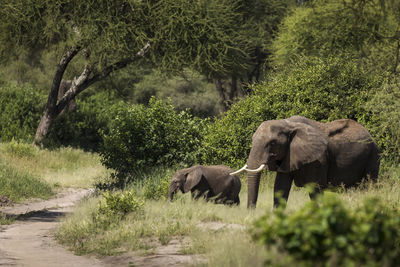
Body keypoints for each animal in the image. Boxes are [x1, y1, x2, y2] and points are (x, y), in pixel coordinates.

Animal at [230, 115, 380, 209]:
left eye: (272, 143)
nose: (251, 211)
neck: (288, 124)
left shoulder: (318, 159)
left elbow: (315, 189)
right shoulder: (289, 155)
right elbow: (280, 187)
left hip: (373, 156)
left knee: (369, 186)